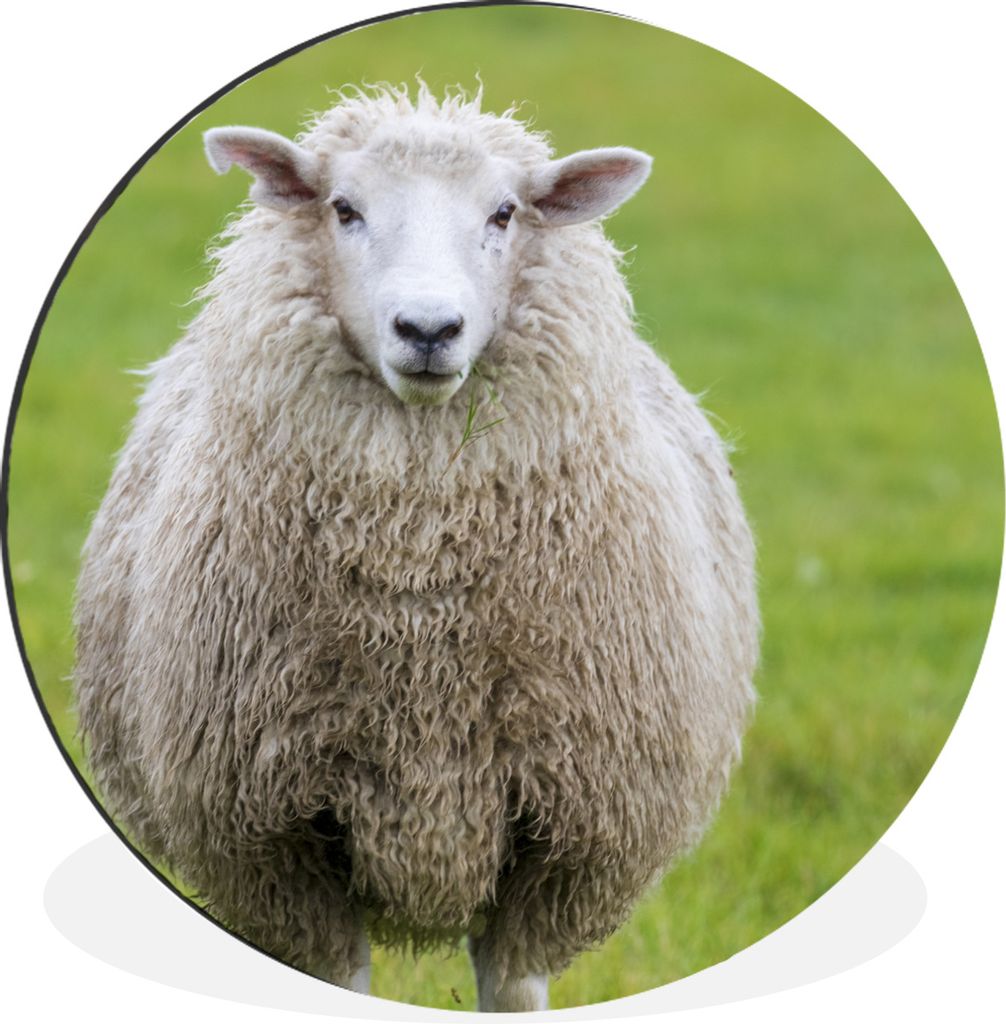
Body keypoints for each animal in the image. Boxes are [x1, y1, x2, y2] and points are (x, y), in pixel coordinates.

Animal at [73, 83, 759, 1012]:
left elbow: (512, 988)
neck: (419, 591)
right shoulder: (278, 840)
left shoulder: (566, 835)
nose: (428, 329)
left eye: (505, 212)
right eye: (343, 208)